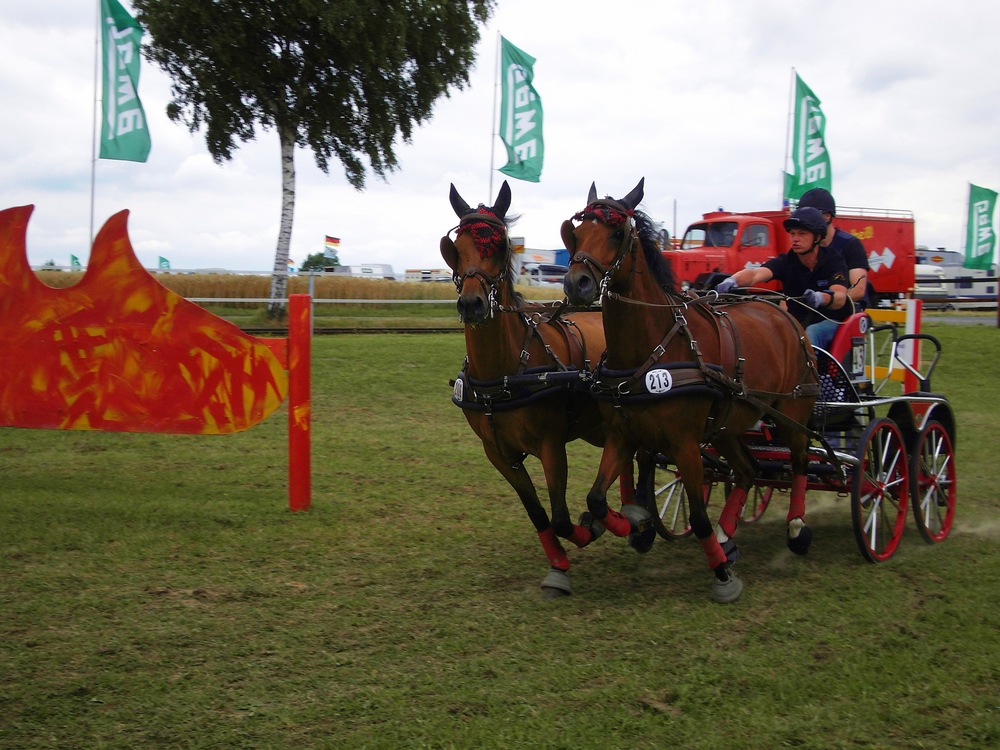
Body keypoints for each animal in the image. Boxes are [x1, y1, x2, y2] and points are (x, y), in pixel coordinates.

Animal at [442, 182, 652, 600]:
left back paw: (634, 520)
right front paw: (558, 563)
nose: (472, 304)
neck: (505, 374)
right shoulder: (499, 454)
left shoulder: (552, 446)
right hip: (604, 424)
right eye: (455, 246)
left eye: (500, 246)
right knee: (625, 457)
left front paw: (589, 533)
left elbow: (561, 517)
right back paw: (628, 511)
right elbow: (538, 513)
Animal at [564, 181, 820, 604]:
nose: (576, 283)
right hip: (729, 424)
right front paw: (633, 523)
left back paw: (797, 527)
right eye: (577, 231)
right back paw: (727, 535)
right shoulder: (622, 435)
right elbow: (597, 500)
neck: (651, 349)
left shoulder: (684, 445)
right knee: (747, 470)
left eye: (617, 233)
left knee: (799, 460)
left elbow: (698, 517)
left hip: (791, 412)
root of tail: (782, 311)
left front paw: (723, 576)